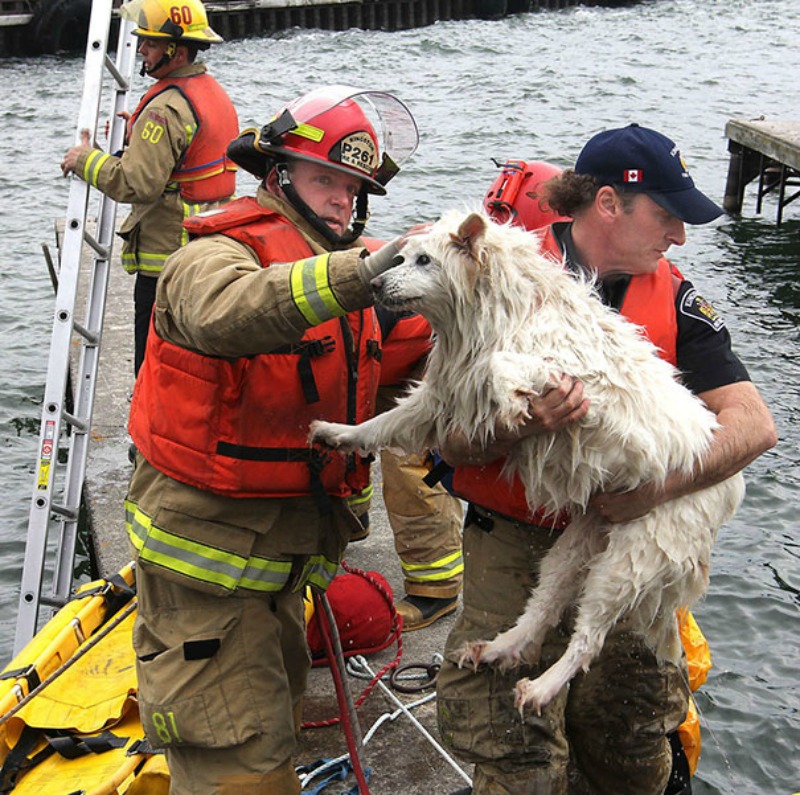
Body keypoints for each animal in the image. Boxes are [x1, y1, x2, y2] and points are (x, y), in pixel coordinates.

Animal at [310, 211, 744, 716]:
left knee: (588, 638)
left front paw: (514, 398)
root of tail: (727, 488)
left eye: (424, 261)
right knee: (544, 606)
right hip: (579, 540)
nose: (375, 283)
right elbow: (383, 422)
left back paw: (542, 687)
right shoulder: (444, 395)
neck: (493, 308)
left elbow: (503, 364)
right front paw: (337, 433)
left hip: (632, 556)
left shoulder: (578, 381)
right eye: (400, 257)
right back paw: (498, 649)